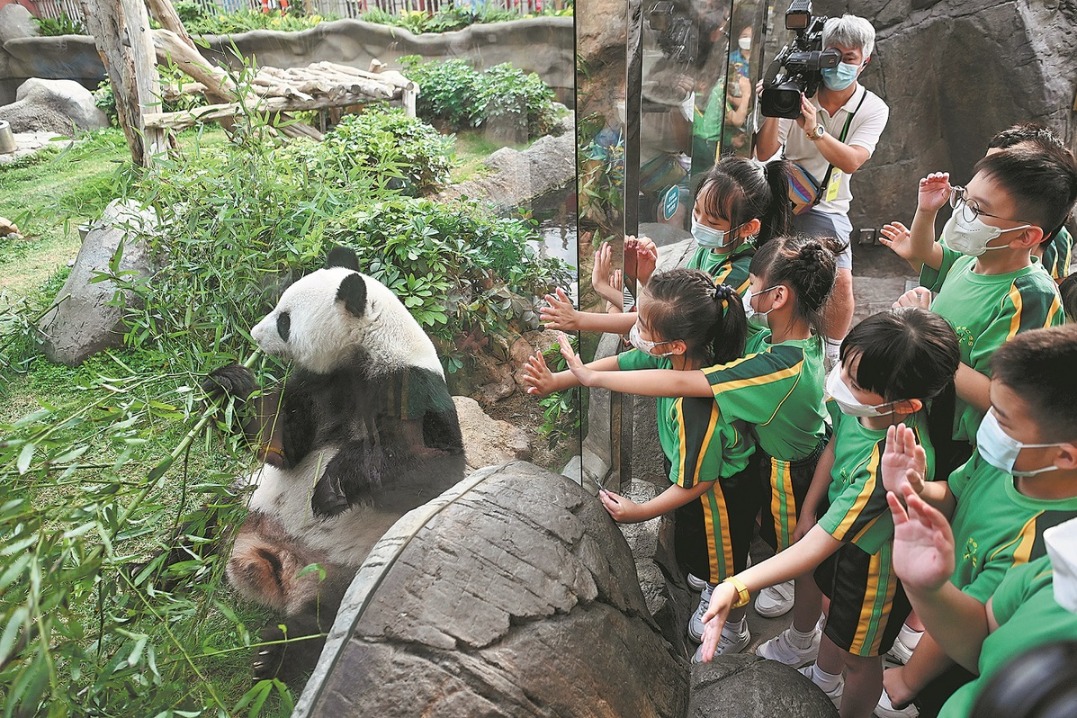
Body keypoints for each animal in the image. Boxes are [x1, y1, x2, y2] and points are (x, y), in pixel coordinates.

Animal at [205, 247, 467, 684]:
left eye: (284, 320)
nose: (255, 335)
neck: (365, 351)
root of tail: (277, 559)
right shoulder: (320, 384)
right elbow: (283, 445)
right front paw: (228, 384)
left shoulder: (410, 388)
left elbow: (432, 469)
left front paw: (331, 487)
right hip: (248, 502)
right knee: (202, 526)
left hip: (348, 575)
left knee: (321, 625)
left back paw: (270, 658)